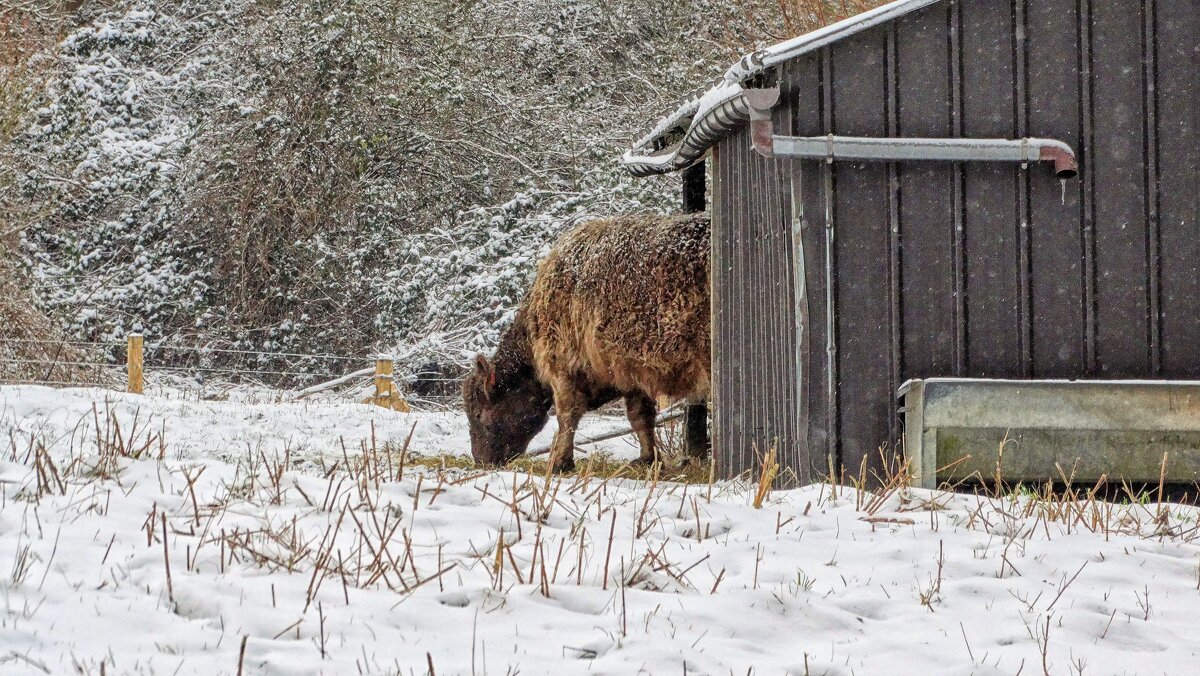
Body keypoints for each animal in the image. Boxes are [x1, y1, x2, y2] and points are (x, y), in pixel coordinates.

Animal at [460, 213, 705, 473]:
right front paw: (648, 459)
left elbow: (567, 415)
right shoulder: (633, 375)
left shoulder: (564, 370)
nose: (481, 459)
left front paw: (560, 462)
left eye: (478, 413)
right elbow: (640, 416)